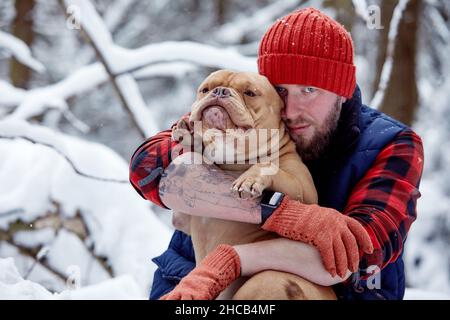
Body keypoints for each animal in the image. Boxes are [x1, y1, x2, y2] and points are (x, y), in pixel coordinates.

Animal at [171, 70, 336, 300]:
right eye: (205, 89)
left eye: (250, 93)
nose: (220, 91)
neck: (233, 160)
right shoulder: (182, 218)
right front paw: (189, 135)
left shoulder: (306, 191)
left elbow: (268, 165)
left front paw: (249, 179)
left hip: (265, 282)